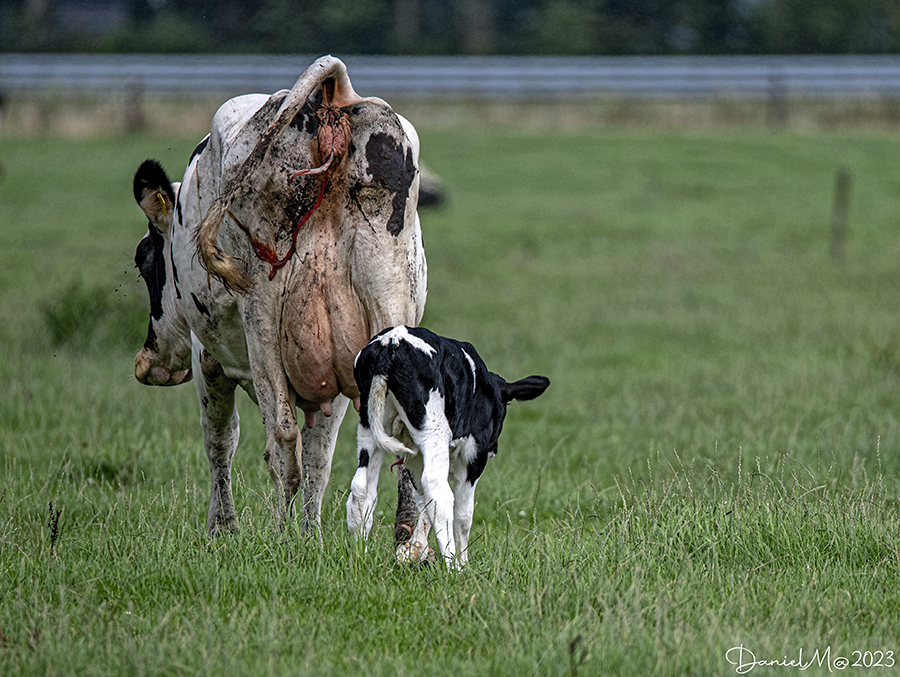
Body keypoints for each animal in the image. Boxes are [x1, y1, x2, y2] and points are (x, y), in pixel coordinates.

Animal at [133, 56, 428, 532]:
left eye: (145, 263)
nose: (150, 364)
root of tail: (333, 98)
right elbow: (320, 460)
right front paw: (312, 535)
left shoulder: (206, 358)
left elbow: (221, 440)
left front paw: (223, 528)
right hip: (389, 297)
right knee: (398, 433)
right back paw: (406, 538)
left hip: (263, 310)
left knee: (281, 438)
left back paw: (282, 536)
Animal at [346, 324, 548, 568]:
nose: (494, 449)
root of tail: (393, 340)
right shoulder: (473, 458)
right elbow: (463, 515)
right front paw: (463, 562)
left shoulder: (415, 456)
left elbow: (421, 500)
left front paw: (415, 550)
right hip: (435, 431)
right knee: (438, 491)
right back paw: (453, 566)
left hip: (369, 428)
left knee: (362, 488)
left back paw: (360, 556)